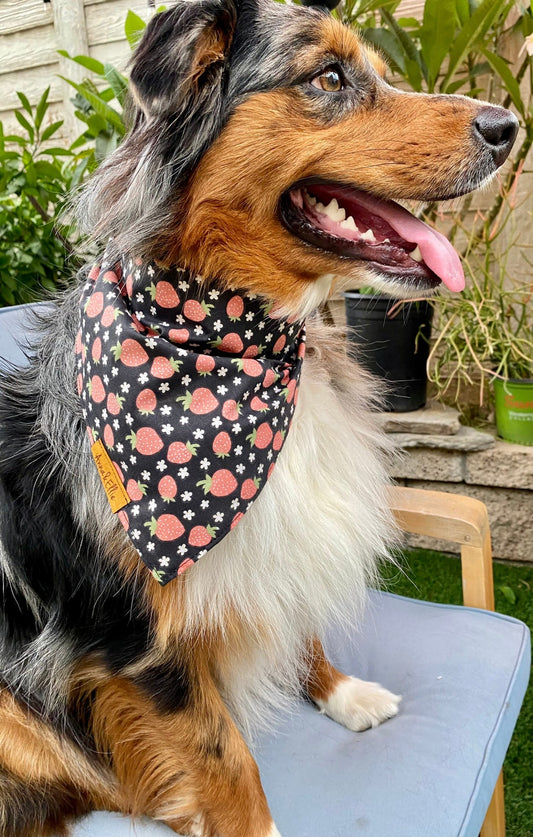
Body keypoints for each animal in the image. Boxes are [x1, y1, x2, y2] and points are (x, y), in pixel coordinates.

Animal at [0, 0, 516, 832]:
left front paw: (342, 690)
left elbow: (300, 620)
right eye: (328, 77)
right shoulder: (139, 646)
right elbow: (224, 760)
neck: (244, 347)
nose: (508, 125)